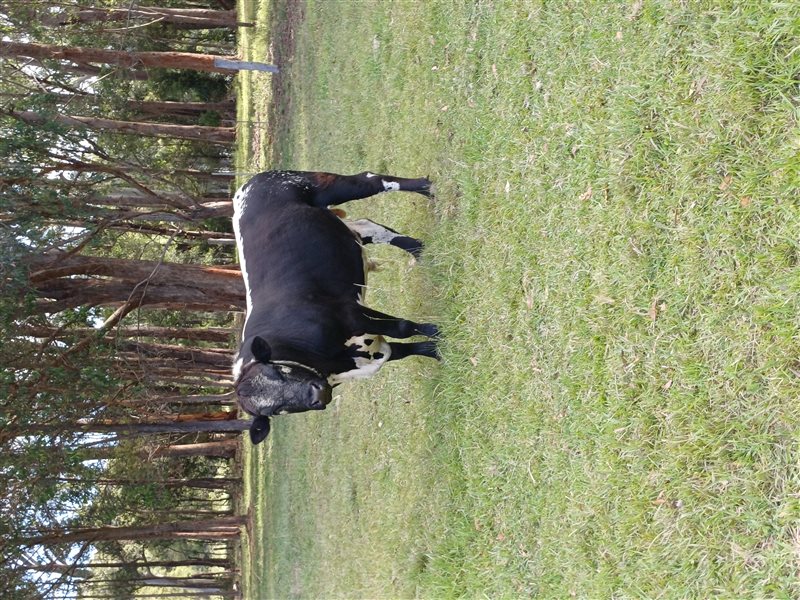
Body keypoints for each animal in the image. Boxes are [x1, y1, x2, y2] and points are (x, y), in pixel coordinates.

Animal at [232, 170, 440, 444]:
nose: (316, 396)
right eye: (275, 410)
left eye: (278, 372)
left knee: (374, 180)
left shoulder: (349, 313)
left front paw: (439, 333)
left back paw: (427, 188)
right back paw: (419, 250)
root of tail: (246, 185)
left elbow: (403, 328)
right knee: (369, 227)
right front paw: (435, 350)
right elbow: (401, 350)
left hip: (327, 186)